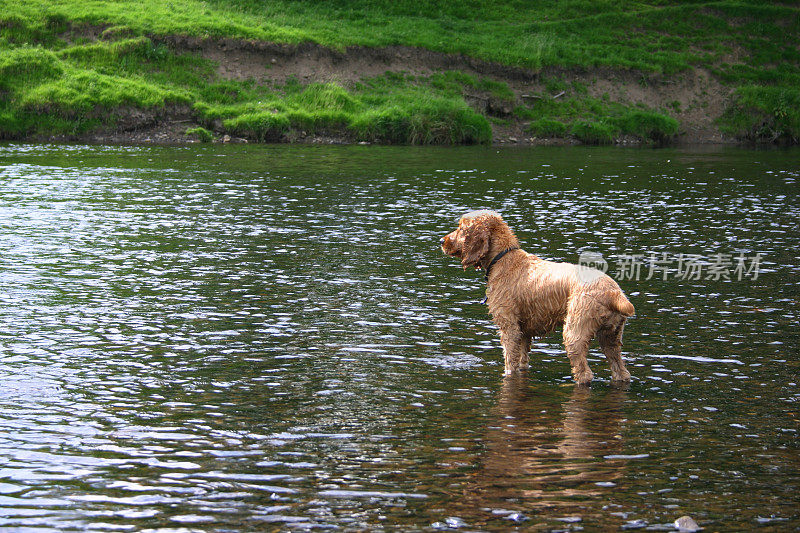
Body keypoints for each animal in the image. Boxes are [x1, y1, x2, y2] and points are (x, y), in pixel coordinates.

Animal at [440, 210, 636, 384]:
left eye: (461, 228)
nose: (442, 241)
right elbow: (522, 361)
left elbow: (510, 361)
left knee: (584, 374)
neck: (502, 259)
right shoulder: (524, 331)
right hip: (611, 337)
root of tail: (614, 293)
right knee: (621, 371)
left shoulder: (509, 326)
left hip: (574, 333)